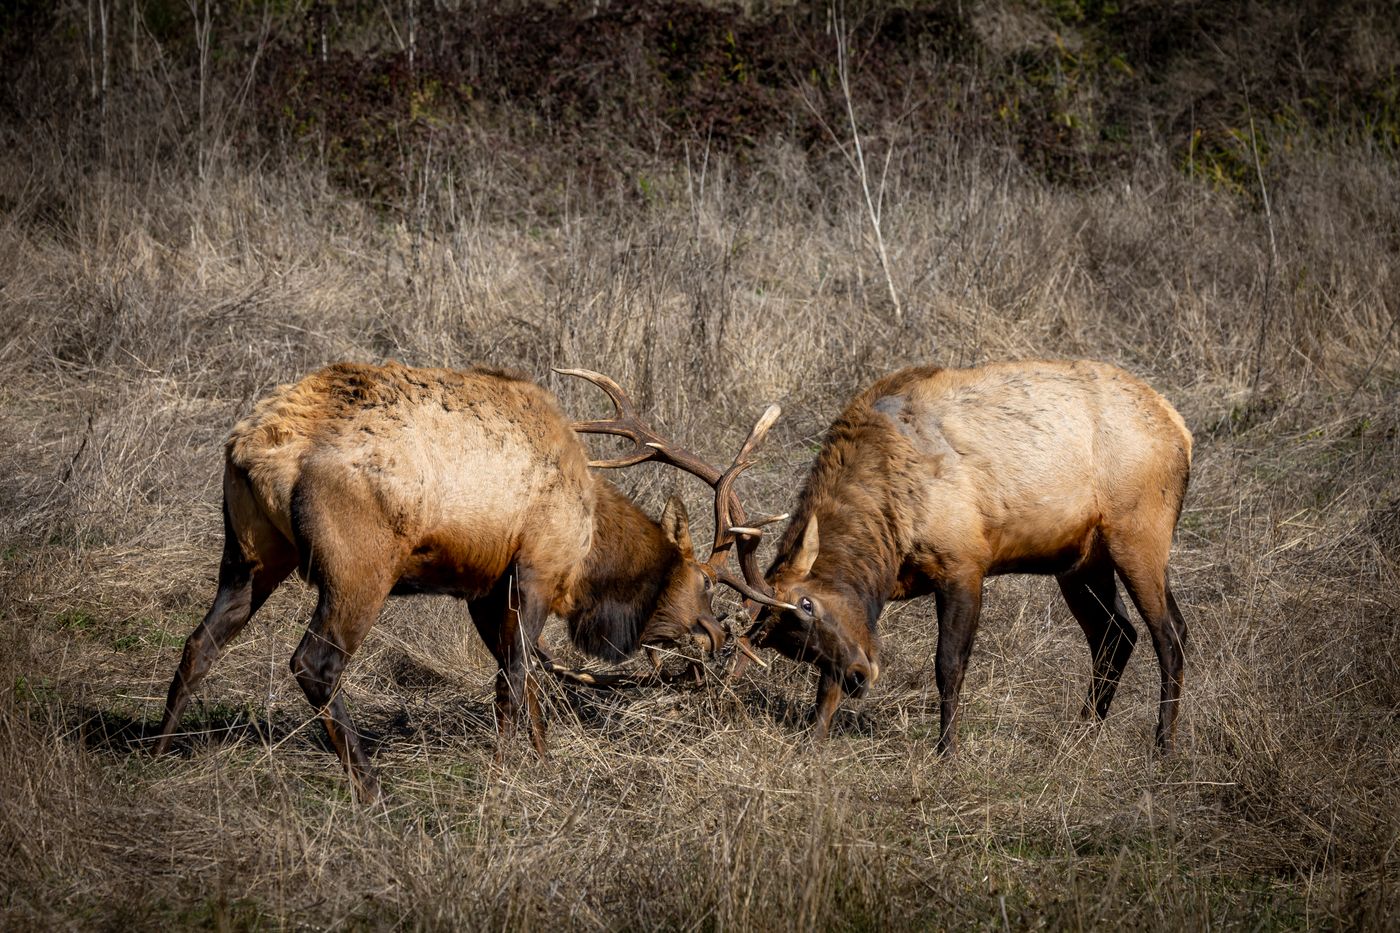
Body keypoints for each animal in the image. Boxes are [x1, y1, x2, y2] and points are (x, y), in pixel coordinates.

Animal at [151, 361, 788, 801]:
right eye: (703, 580)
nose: (716, 635)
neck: (590, 548)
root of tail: (252, 448)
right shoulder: (534, 569)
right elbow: (515, 677)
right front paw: (506, 772)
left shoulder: (483, 588)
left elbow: (523, 680)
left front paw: (543, 760)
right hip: (358, 566)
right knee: (314, 662)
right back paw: (371, 788)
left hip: (250, 556)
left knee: (200, 642)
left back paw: (157, 752)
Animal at [735, 360, 1193, 753]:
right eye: (784, 644)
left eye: (806, 604)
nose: (858, 678)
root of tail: (1181, 430)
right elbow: (827, 680)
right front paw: (813, 742)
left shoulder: (964, 563)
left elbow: (949, 665)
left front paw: (946, 751)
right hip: (1081, 561)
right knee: (1115, 633)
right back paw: (1084, 732)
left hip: (1139, 534)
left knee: (1170, 633)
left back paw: (1163, 745)